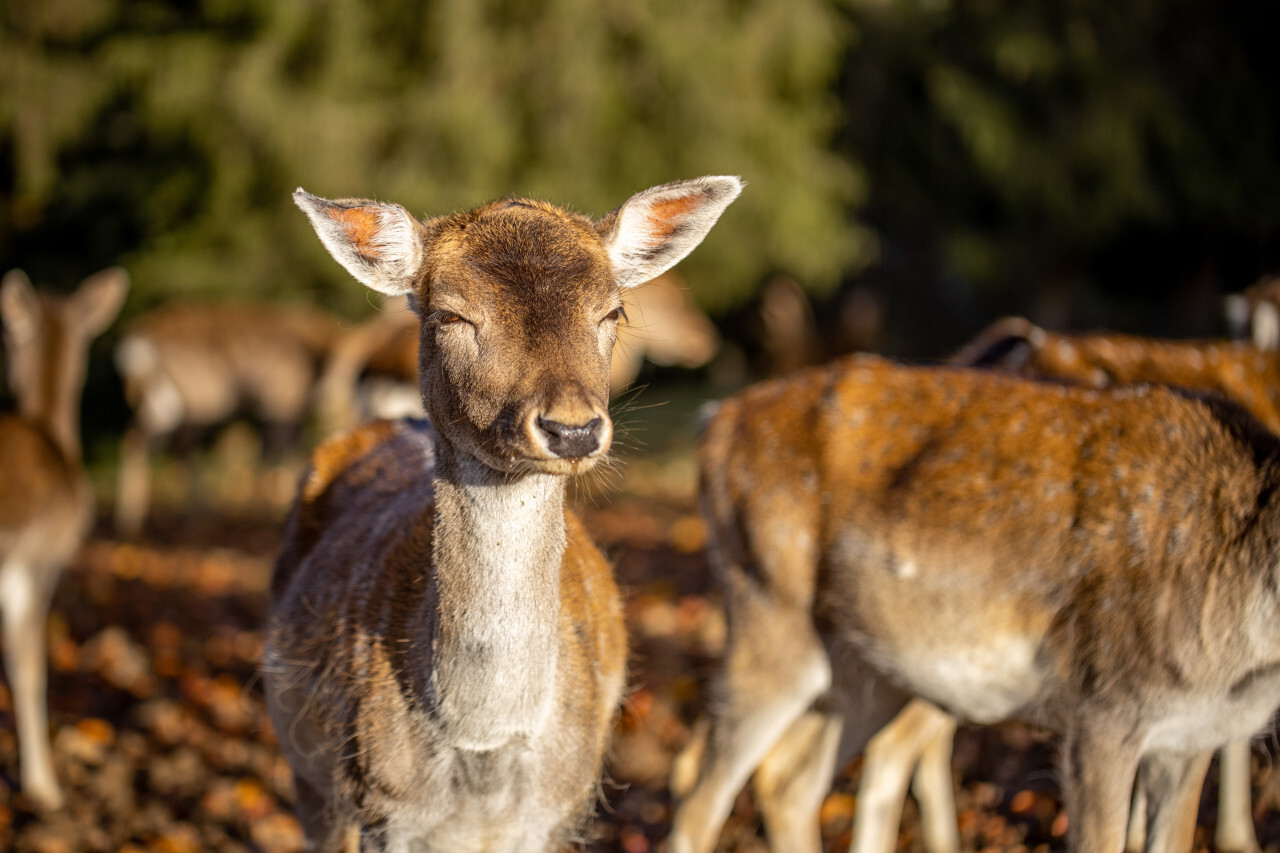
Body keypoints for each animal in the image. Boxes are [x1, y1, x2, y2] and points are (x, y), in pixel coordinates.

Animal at [113, 298, 343, 535]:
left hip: (163, 406)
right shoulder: (279, 405)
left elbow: (273, 454)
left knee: (143, 440)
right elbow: (278, 453)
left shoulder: (279, 413)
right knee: (172, 445)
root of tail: (139, 341)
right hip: (198, 403)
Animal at [264, 175, 747, 845]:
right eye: (450, 313)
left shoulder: (563, 811)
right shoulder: (380, 808)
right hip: (309, 779)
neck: (483, 752)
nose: (572, 430)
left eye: (613, 311)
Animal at [665, 345, 1280, 850]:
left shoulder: (1192, 736)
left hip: (868, 671)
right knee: (701, 804)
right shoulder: (1103, 711)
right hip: (768, 611)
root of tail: (711, 422)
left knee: (792, 784)